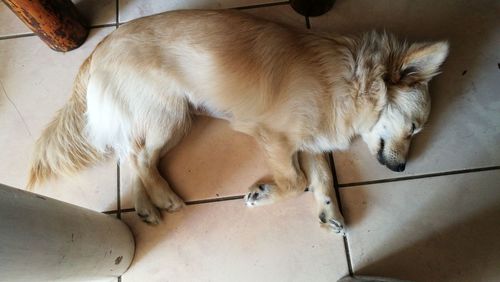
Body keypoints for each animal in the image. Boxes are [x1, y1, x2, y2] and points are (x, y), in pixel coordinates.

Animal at [27, 9, 450, 234]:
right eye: (414, 128)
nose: (402, 168)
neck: (349, 80)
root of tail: (100, 47)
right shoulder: (277, 138)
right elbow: (296, 181)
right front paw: (264, 194)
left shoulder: (312, 141)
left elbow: (323, 178)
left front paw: (331, 211)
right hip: (170, 114)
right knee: (140, 156)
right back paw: (164, 197)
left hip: (167, 117)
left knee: (129, 154)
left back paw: (145, 206)